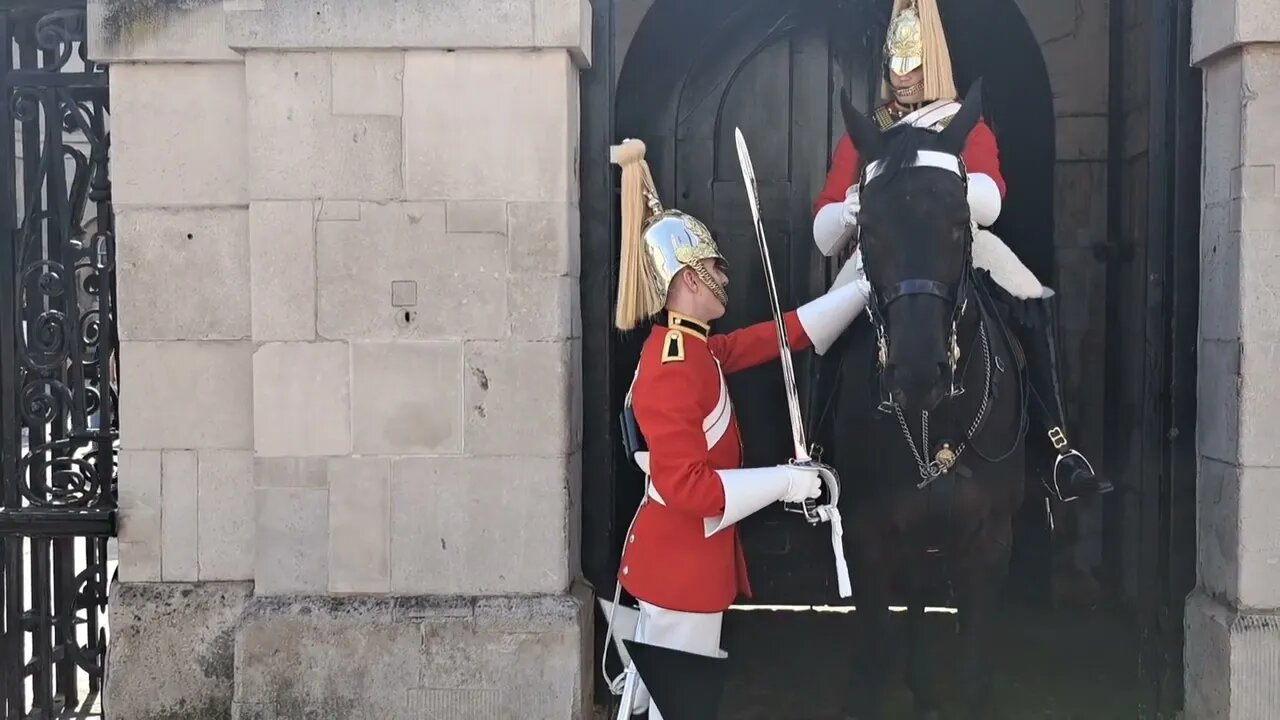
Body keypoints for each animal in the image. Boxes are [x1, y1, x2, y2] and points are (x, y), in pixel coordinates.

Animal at [824, 79, 1034, 717]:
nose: (918, 375)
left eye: (959, 223)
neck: (933, 420)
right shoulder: (868, 539)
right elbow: (873, 661)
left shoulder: (989, 544)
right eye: (867, 226)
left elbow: (974, 675)